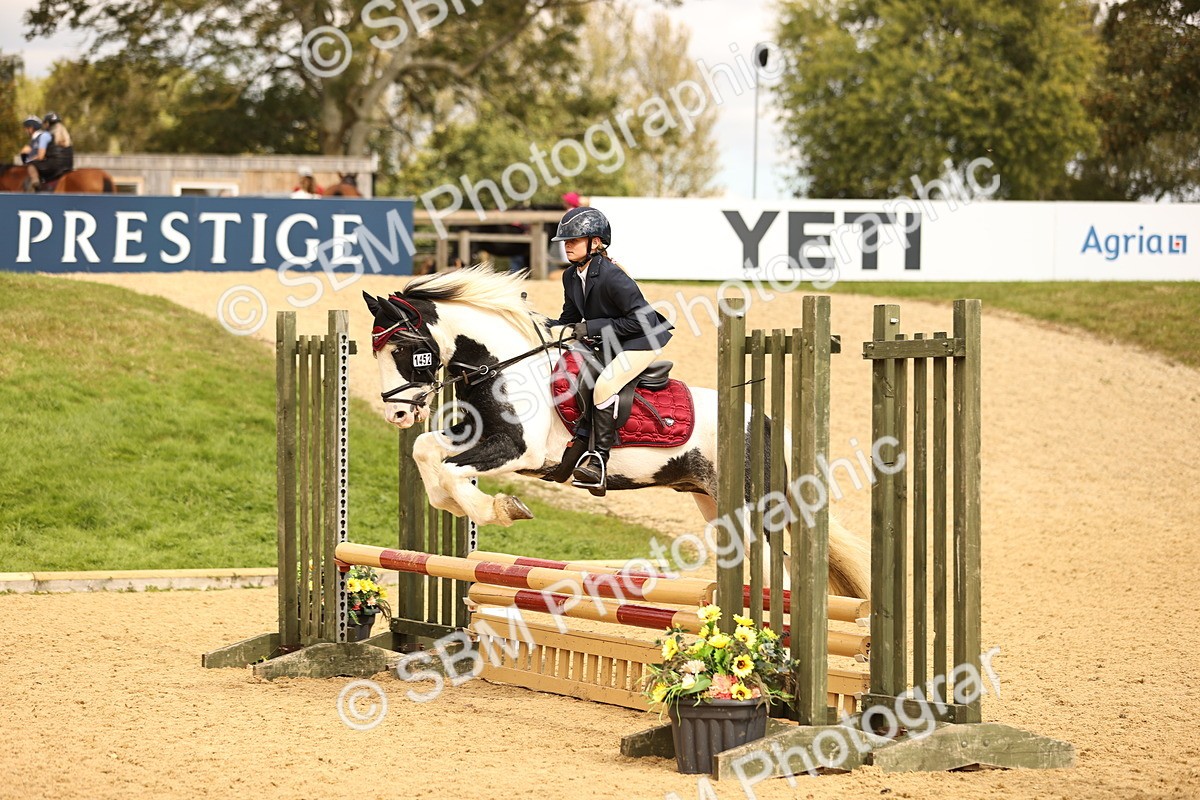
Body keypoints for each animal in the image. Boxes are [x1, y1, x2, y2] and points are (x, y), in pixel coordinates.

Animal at [363, 267, 869, 598]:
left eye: (403, 349)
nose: (398, 415)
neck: (504, 364)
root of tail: (770, 424)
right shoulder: (477, 437)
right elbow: (427, 453)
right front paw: (455, 503)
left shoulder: (519, 450)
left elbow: (451, 469)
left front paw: (499, 508)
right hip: (714, 502)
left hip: (754, 507)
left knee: (776, 573)